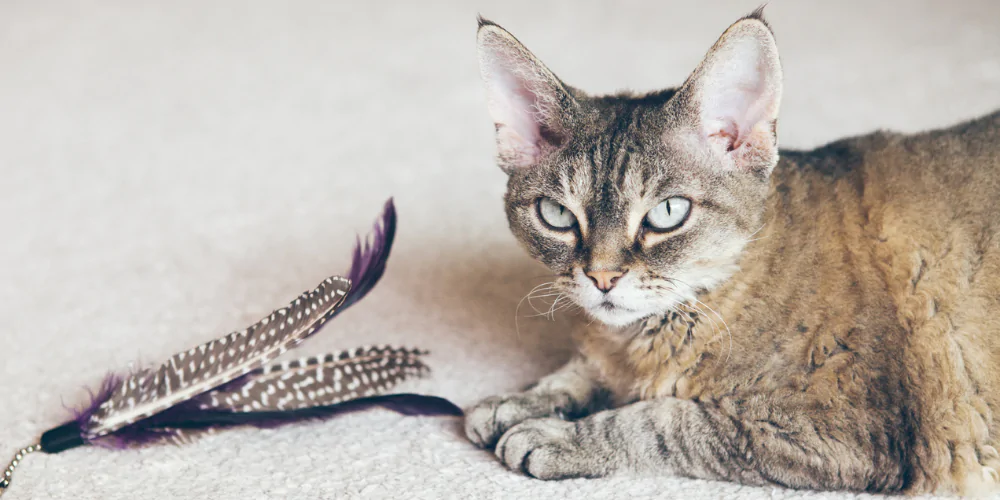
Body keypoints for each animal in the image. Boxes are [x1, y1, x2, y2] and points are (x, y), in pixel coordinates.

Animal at [464, 7, 1000, 496]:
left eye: (668, 212)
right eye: (556, 214)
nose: (602, 277)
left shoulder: (836, 428)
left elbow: (662, 420)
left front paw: (563, 435)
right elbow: (583, 373)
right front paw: (525, 398)